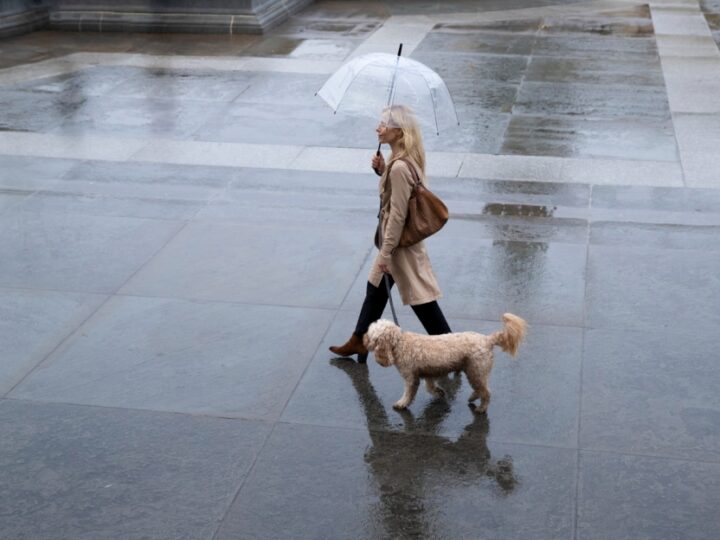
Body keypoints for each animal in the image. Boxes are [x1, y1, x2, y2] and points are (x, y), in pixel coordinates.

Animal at [362, 314, 524, 412]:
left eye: (370, 335)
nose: (363, 339)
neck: (399, 343)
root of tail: (487, 339)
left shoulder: (410, 377)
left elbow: (408, 393)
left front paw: (402, 403)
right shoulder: (428, 372)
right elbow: (430, 387)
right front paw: (439, 392)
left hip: (476, 371)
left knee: (486, 392)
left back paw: (481, 408)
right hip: (474, 371)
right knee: (481, 389)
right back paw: (473, 397)